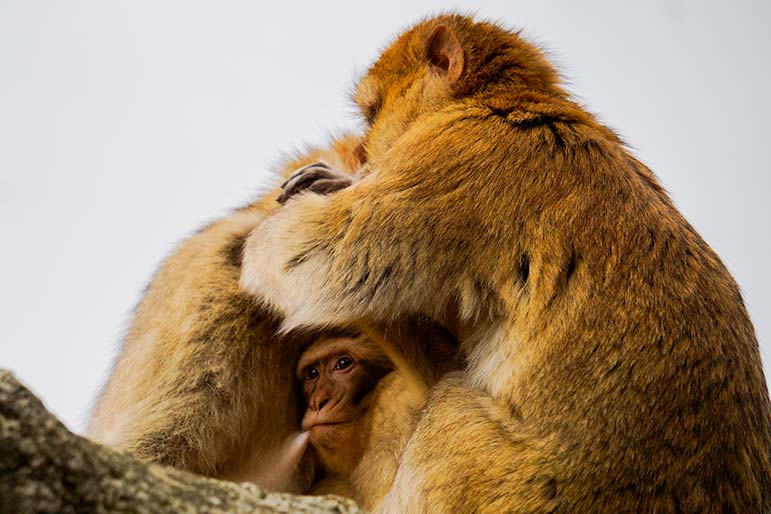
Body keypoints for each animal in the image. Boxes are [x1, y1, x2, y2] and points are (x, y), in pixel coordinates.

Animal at [241, 14, 771, 510]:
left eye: (372, 113)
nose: (362, 149)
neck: (499, 100)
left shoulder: (455, 154)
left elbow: (314, 262)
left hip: (520, 486)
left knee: (450, 408)